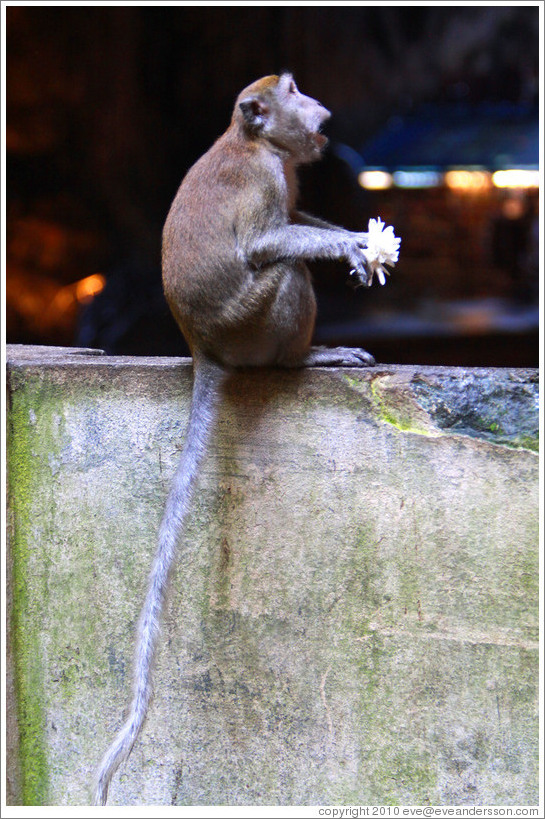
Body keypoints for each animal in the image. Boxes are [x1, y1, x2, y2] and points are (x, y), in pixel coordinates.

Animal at [93, 72, 378, 808]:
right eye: (291, 90)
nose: (317, 106)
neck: (255, 142)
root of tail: (203, 347)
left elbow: (300, 221)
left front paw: (357, 238)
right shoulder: (261, 183)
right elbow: (264, 242)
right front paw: (351, 247)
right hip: (250, 322)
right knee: (285, 273)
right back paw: (306, 358)